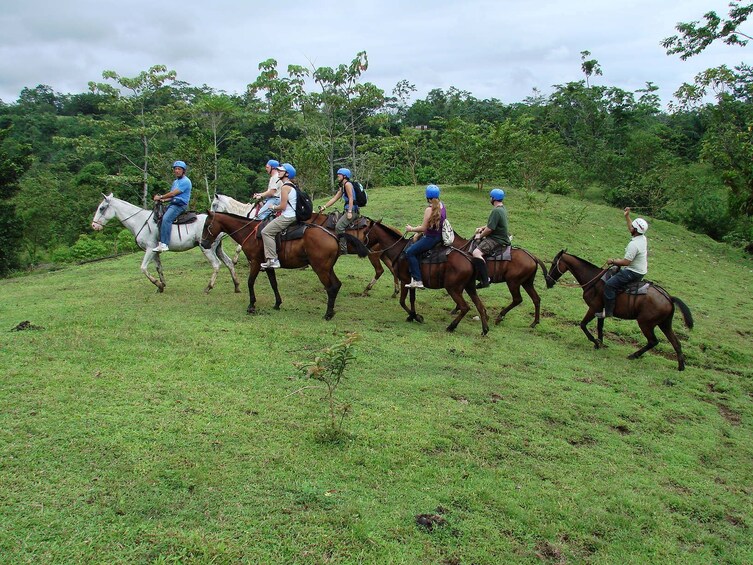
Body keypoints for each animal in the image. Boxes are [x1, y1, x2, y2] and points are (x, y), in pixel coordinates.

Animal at [91, 192, 239, 294]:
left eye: (102, 208)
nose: (94, 225)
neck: (140, 221)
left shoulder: (149, 248)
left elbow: (143, 268)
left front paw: (158, 284)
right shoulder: (154, 251)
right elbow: (159, 268)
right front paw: (161, 286)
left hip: (207, 248)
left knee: (216, 265)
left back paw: (208, 287)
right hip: (217, 248)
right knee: (229, 263)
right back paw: (236, 286)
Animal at [198, 210, 366, 320]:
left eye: (206, 225)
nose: (204, 243)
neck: (250, 232)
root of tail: (334, 236)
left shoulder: (255, 262)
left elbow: (250, 282)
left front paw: (251, 305)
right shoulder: (268, 265)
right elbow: (274, 284)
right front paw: (277, 304)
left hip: (320, 268)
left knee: (330, 288)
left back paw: (327, 314)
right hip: (327, 268)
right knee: (337, 285)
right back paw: (331, 312)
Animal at [362, 220, 490, 334]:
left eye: (365, 232)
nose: (362, 246)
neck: (400, 250)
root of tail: (470, 258)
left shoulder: (404, 280)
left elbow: (402, 301)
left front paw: (416, 317)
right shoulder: (411, 282)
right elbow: (412, 299)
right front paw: (412, 316)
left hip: (453, 289)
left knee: (465, 307)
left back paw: (451, 326)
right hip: (470, 287)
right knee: (480, 306)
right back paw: (485, 329)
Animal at [548, 248, 692, 370]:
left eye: (554, 263)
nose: (548, 281)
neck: (593, 279)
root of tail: (669, 298)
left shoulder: (593, 308)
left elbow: (583, 325)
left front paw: (596, 342)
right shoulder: (601, 311)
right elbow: (600, 327)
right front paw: (599, 343)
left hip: (646, 323)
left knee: (653, 341)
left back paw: (634, 355)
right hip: (665, 324)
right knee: (676, 343)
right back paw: (681, 366)